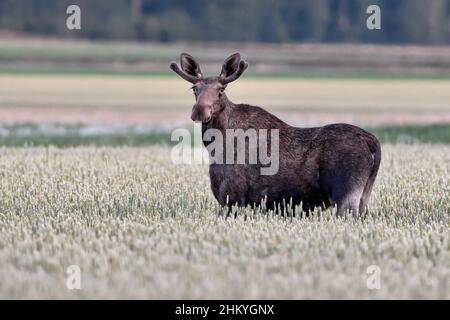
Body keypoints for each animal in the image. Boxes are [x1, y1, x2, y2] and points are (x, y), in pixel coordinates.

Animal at [171, 53, 382, 218]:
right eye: (194, 89)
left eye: (221, 90)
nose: (200, 110)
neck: (215, 145)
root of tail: (372, 142)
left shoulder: (232, 196)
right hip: (363, 197)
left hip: (346, 195)